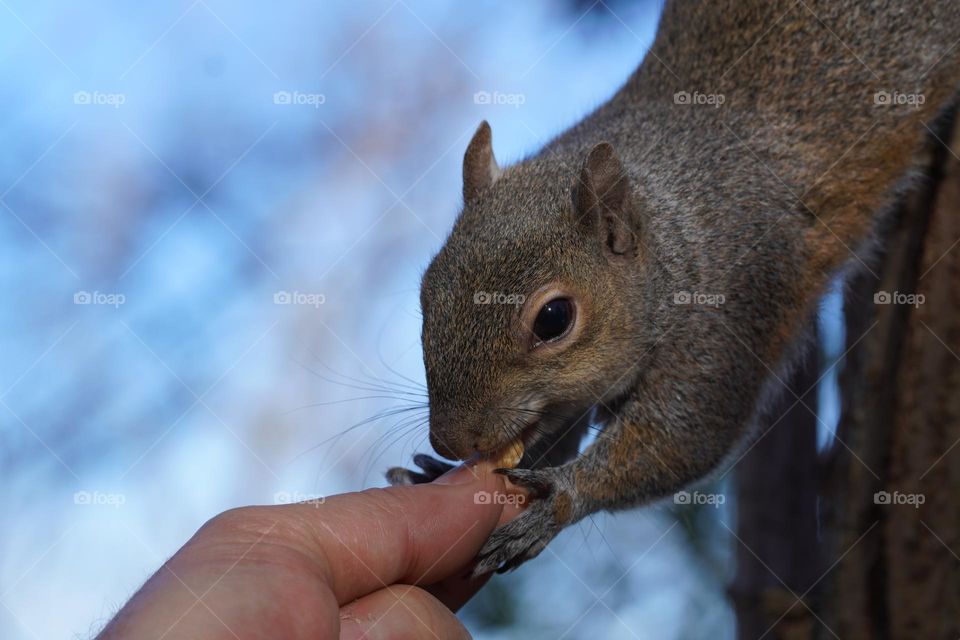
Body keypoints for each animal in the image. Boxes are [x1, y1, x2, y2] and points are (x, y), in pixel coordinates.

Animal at [386, 0, 960, 575]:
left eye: (554, 319)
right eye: (426, 290)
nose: (451, 440)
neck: (669, 246)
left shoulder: (731, 305)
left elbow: (683, 437)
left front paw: (563, 494)